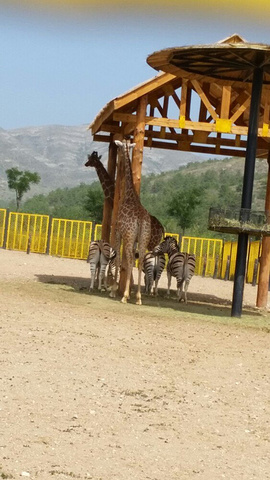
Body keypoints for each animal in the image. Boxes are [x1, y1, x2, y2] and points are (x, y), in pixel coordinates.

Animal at [109, 139, 152, 304]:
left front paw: (113, 290)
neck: (129, 194)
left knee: (128, 259)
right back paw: (138, 297)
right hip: (143, 238)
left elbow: (118, 259)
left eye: (119, 147)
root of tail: (140, 219)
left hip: (128, 236)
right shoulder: (135, 240)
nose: (119, 159)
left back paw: (125, 295)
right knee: (139, 262)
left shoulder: (118, 232)